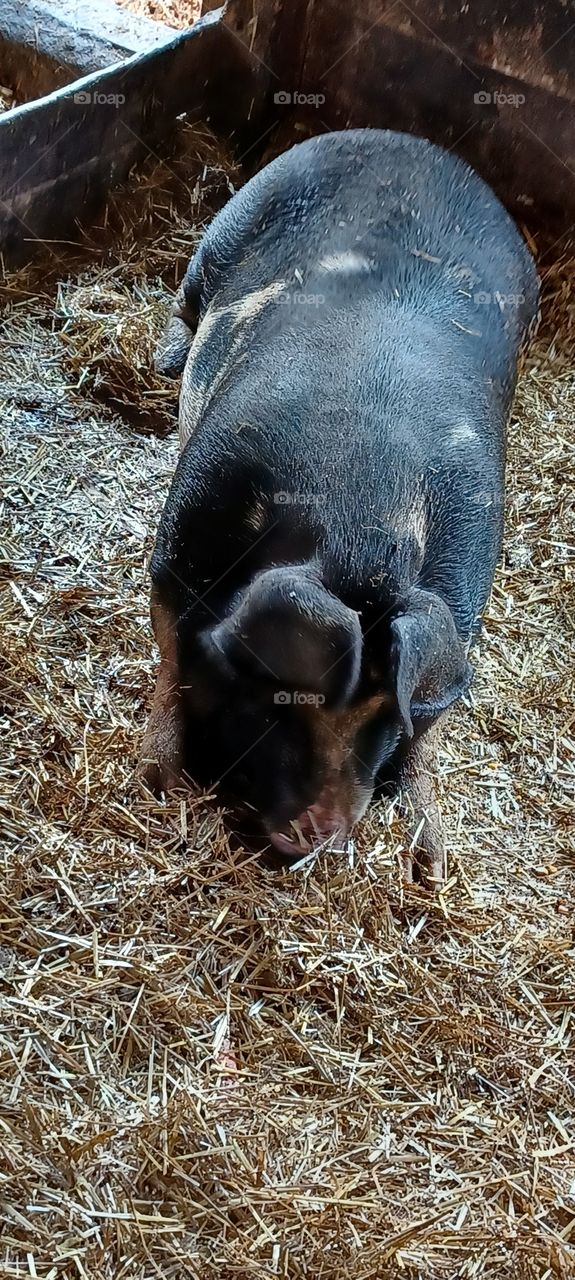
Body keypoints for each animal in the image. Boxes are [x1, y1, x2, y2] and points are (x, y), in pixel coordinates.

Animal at [141, 128, 538, 885]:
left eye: (383, 719)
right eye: (281, 703)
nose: (318, 833)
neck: (363, 526)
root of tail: (405, 141)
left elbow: (428, 732)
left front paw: (433, 860)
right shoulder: (178, 541)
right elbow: (172, 655)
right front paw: (163, 782)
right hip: (229, 227)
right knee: (187, 295)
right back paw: (167, 356)